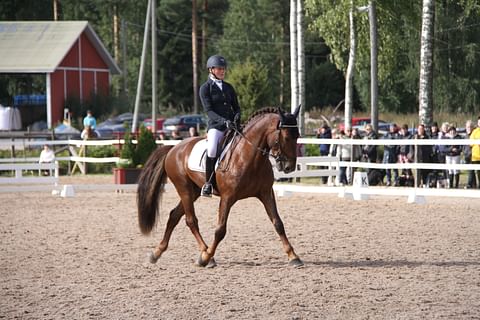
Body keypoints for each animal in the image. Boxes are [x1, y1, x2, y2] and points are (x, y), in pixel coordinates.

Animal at [137, 105, 304, 268]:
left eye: (297, 136)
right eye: (286, 137)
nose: (289, 167)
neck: (249, 157)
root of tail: (173, 148)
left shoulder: (266, 193)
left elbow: (278, 223)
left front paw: (293, 257)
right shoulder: (227, 198)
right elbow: (220, 230)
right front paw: (205, 258)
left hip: (193, 191)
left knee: (174, 216)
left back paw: (156, 253)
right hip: (184, 189)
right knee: (191, 220)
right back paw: (206, 256)